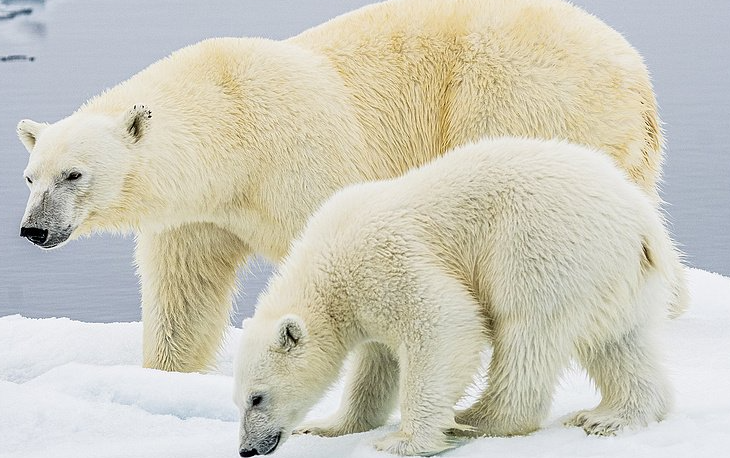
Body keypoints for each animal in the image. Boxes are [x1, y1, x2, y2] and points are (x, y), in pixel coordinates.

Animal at [17, 0, 687, 373]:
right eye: (29, 176)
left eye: (74, 174)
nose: (33, 229)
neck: (233, 128)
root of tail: (638, 75)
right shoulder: (199, 212)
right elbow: (186, 292)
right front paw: (165, 370)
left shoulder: (301, 161)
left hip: (527, 99)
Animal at [233, 137, 676, 457]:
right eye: (237, 400)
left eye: (257, 397)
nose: (247, 450)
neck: (324, 263)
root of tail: (642, 222)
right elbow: (375, 365)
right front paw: (327, 425)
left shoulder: (383, 259)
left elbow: (443, 320)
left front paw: (401, 441)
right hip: (615, 275)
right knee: (621, 341)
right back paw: (610, 417)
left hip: (542, 245)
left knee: (527, 332)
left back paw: (479, 417)